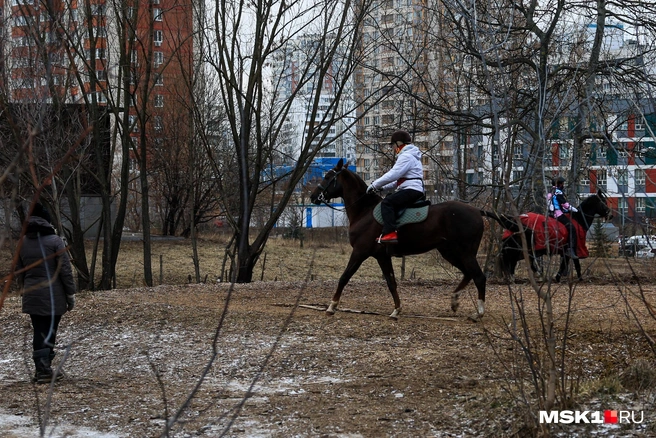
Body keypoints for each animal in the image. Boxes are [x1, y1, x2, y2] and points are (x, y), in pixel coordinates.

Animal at [308, 159, 486, 320]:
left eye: (327, 177)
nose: (313, 196)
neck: (364, 211)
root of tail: (478, 211)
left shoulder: (359, 252)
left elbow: (344, 277)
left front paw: (332, 306)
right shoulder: (382, 256)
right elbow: (391, 282)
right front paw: (397, 310)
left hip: (464, 253)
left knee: (478, 276)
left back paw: (478, 313)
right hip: (449, 252)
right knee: (467, 273)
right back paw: (455, 301)